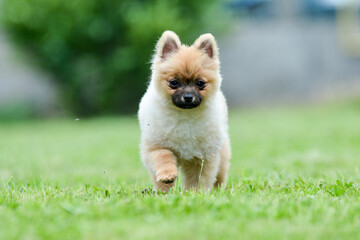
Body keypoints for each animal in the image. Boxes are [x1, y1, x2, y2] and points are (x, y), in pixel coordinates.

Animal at [138, 30, 231, 192]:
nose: (188, 97)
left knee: (220, 176)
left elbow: (198, 179)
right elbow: (163, 158)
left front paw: (195, 193)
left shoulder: (202, 157)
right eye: (174, 82)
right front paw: (167, 176)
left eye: (200, 83)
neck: (184, 117)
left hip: (222, 154)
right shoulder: (155, 147)